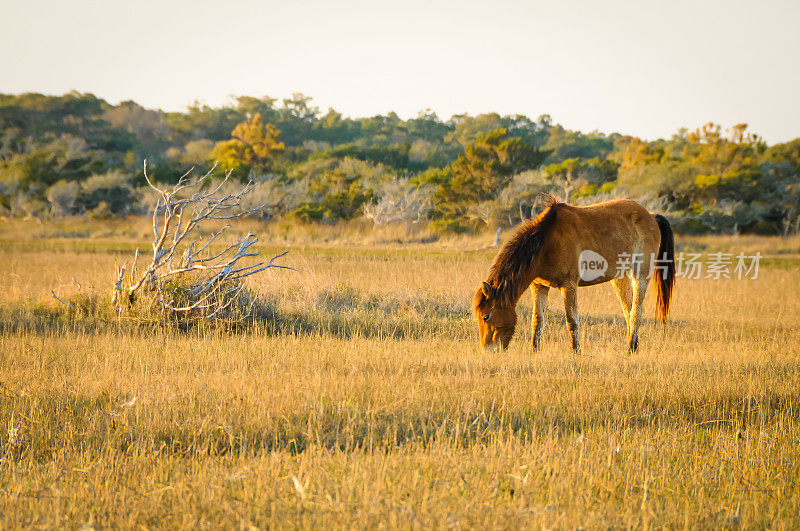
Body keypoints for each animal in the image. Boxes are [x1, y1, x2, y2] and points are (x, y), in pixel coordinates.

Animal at [472, 198, 672, 354]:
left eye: (486, 317)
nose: (488, 351)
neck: (545, 243)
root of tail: (651, 216)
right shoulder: (539, 286)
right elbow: (537, 320)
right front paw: (534, 350)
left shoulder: (568, 286)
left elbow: (572, 321)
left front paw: (577, 351)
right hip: (619, 278)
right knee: (628, 310)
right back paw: (634, 345)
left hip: (640, 275)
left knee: (636, 312)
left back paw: (630, 348)